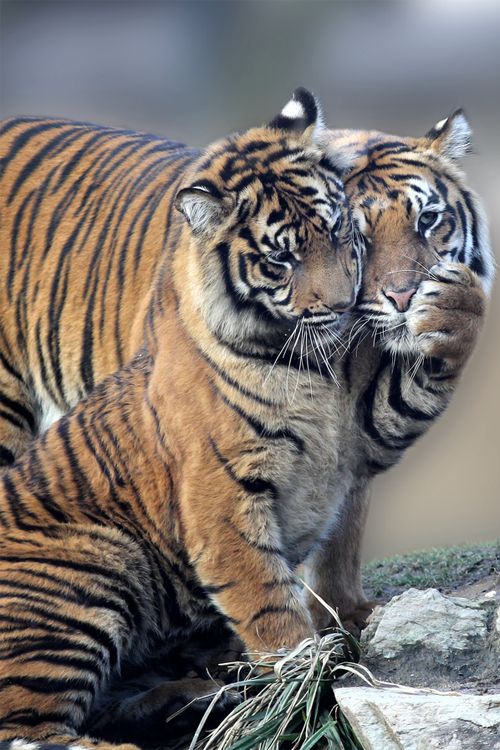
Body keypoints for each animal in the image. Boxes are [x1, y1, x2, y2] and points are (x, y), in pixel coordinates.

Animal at [0, 89, 364, 750]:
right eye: (282, 258)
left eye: (335, 228)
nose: (343, 303)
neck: (307, 364)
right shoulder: (223, 501)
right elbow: (273, 610)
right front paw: (309, 686)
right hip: (94, 561)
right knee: (29, 729)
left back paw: (191, 699)